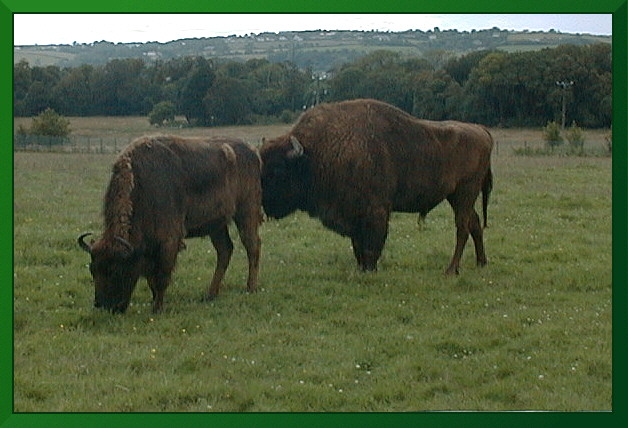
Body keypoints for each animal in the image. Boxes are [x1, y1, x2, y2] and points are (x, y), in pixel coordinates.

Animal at [76, 135, 262, 312]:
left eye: (116, 271)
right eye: (92, 269)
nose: (103, 305)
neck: (142, 184)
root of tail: (253, 151)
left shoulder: (169, 241)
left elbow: (162, 277)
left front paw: (157, 309)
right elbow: (151, 278)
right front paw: (154, 301)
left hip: (246, 212)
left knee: (252, 245)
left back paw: (250, 288)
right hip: (216, 225)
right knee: (225, 250)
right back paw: (210, 295)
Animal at [258, 98, 494, 274]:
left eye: (278, 170)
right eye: (262, 164)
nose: (263, 202)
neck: (315, 154)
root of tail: (481, 130)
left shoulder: (375, 211)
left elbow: (372, 246)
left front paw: (370, 270)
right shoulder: (353, 215)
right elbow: (358, 247)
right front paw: (361, 268)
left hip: (465, 193)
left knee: (462, 228)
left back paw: (451, 269)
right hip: (456, 197)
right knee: (474, 223)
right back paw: (481, 262)